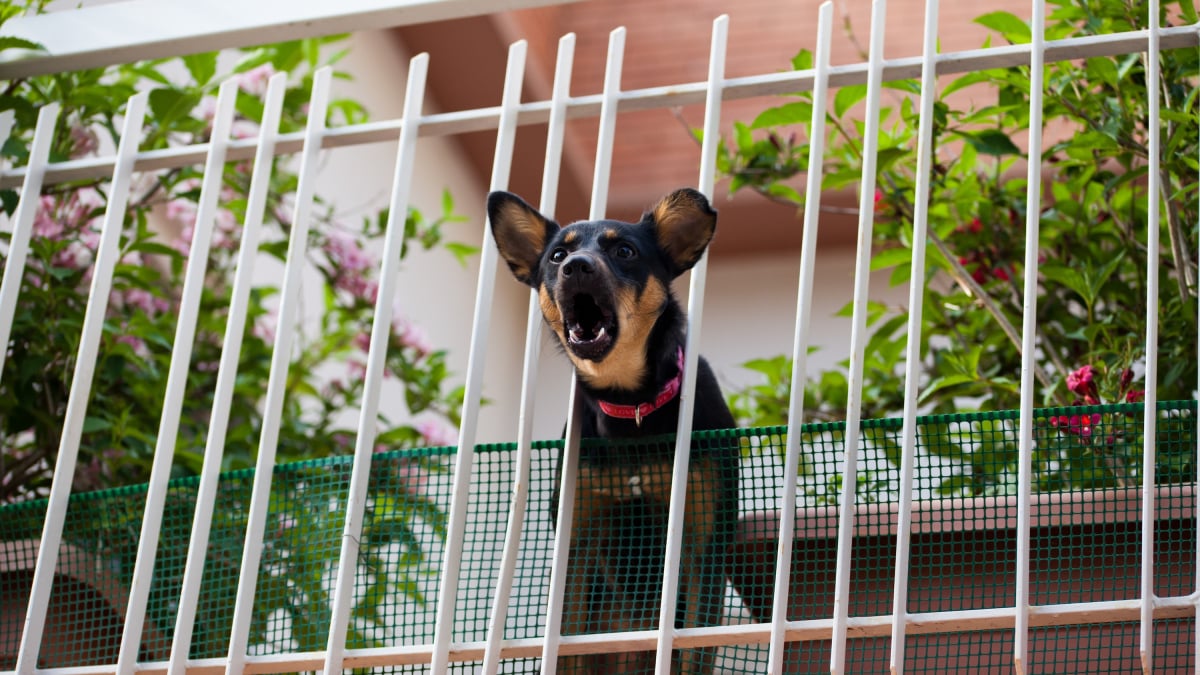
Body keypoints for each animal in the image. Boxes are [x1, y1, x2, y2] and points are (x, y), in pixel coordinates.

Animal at [489, 184, 739, 672]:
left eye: (625, 251)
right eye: (557, 255)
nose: (575, 266)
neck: (629, 405)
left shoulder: (703, 543)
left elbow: (692, 648)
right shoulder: (577, 544)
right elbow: (564, 646)